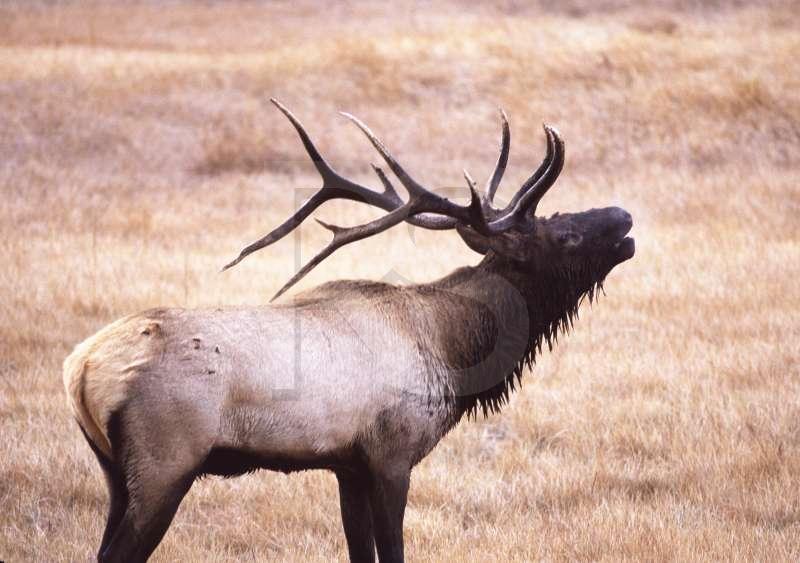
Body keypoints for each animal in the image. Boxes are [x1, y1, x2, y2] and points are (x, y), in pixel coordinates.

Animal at [63, 99, 635, 563]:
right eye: (563, 234)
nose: (624, 216)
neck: (453, 351)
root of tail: (81, 368)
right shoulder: (391, 455)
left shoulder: (348, 467)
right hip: (166, 464)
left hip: (116, 474)